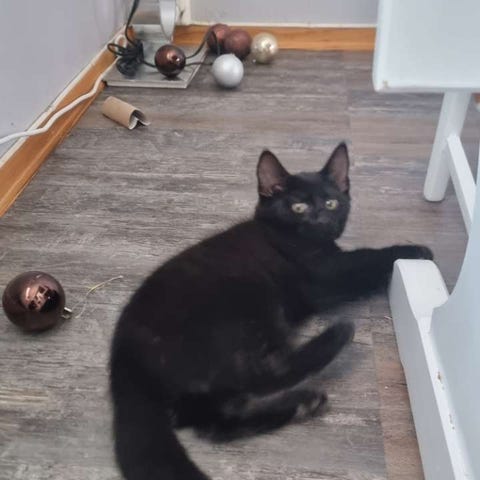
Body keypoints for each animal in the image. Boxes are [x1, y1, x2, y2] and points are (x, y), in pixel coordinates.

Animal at [110, 143, 433, 480]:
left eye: (331, 203)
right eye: (298, 207)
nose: (321, 219)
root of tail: (124, 356)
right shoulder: (327, 275)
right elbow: (366, 259)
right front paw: (413, 251)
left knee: (215, 421)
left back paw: (302, 404)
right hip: (251, 303)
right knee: (261, 376)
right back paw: (335, 341)